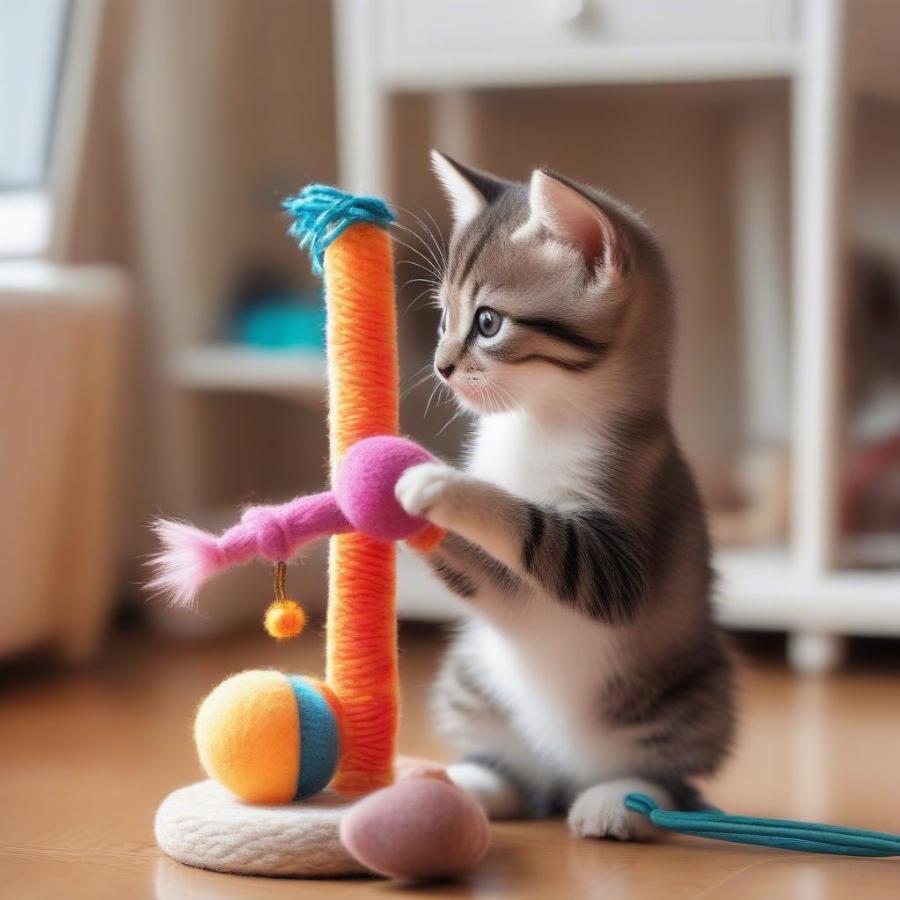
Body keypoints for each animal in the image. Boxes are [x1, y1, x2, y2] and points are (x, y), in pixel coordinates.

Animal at [398, 153, 736, 836]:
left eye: (488, 322)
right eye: (443, 318)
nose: (441, 365)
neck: (536, 419)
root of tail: (565, 772)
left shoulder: (617, 556)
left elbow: (533, 523)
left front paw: (440, 482)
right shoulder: (505, 594)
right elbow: (482, 574)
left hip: (693, 690)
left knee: (667, 778)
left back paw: (621, 800)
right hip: (471, 676)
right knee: (517, 773)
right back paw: (471, 782)